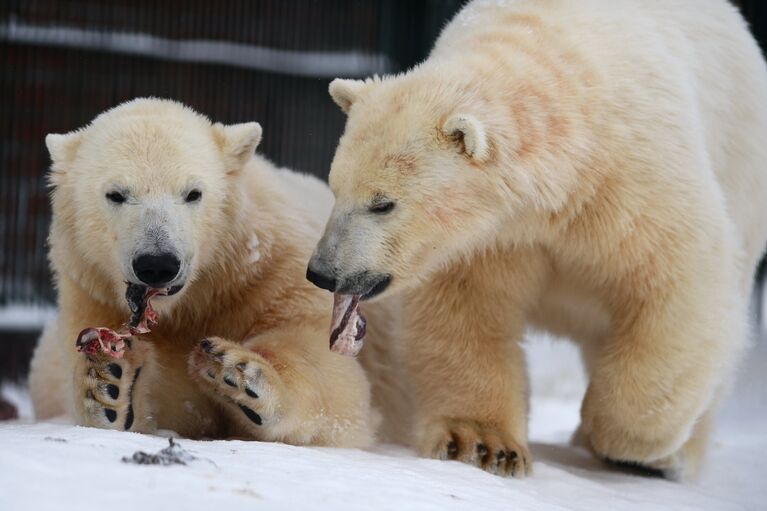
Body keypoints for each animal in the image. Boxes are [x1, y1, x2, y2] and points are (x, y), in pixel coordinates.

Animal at [29, 99, 402, 448]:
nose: (157, 264)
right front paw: (107, 381)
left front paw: (238, 371)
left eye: (193, 193)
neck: (198, 295)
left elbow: (332, 375)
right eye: (116, 194)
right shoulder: (93, 294)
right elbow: (176, 403)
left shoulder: (271, 274)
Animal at [308, 0, 767, 480]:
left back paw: (669, 457)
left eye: (383, 203)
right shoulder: (491, 239)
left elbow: (678, 284)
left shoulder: (634, 178)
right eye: (336, 187)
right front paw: (481, 444)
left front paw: (623, 438)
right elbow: (469, 309)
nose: (323, 272)